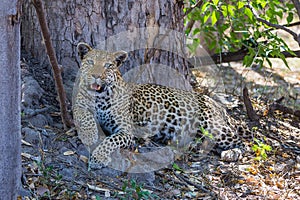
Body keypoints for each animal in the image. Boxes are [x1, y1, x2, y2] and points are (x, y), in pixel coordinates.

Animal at [72, 42, 253, 169]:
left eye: (108, 66)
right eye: (90, 62)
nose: (96, 76)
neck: (100, 97)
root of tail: (217, 104)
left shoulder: (126, 131)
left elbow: (110, 140)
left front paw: (98, 158)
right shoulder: (78, 105)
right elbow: (84, 114)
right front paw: (89, 134)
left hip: (212, 125)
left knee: (242, 142)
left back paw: (231, 153)